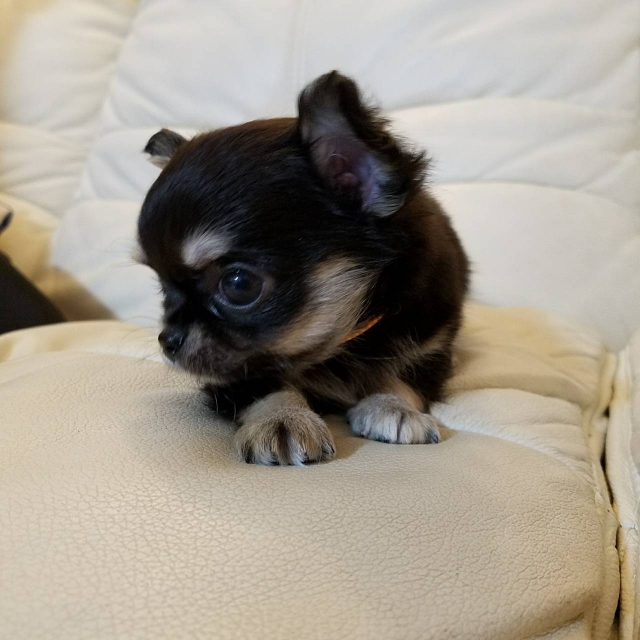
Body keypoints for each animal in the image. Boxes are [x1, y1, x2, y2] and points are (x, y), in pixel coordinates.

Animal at [137, 71, 469, 465]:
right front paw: (283, 418)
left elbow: (404, 377)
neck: (345, 343)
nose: (167, 340)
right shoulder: (238, 371)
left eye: (238, 284)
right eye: (162, 287)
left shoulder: (432, 346)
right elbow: (263, 384)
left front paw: (393, 406)